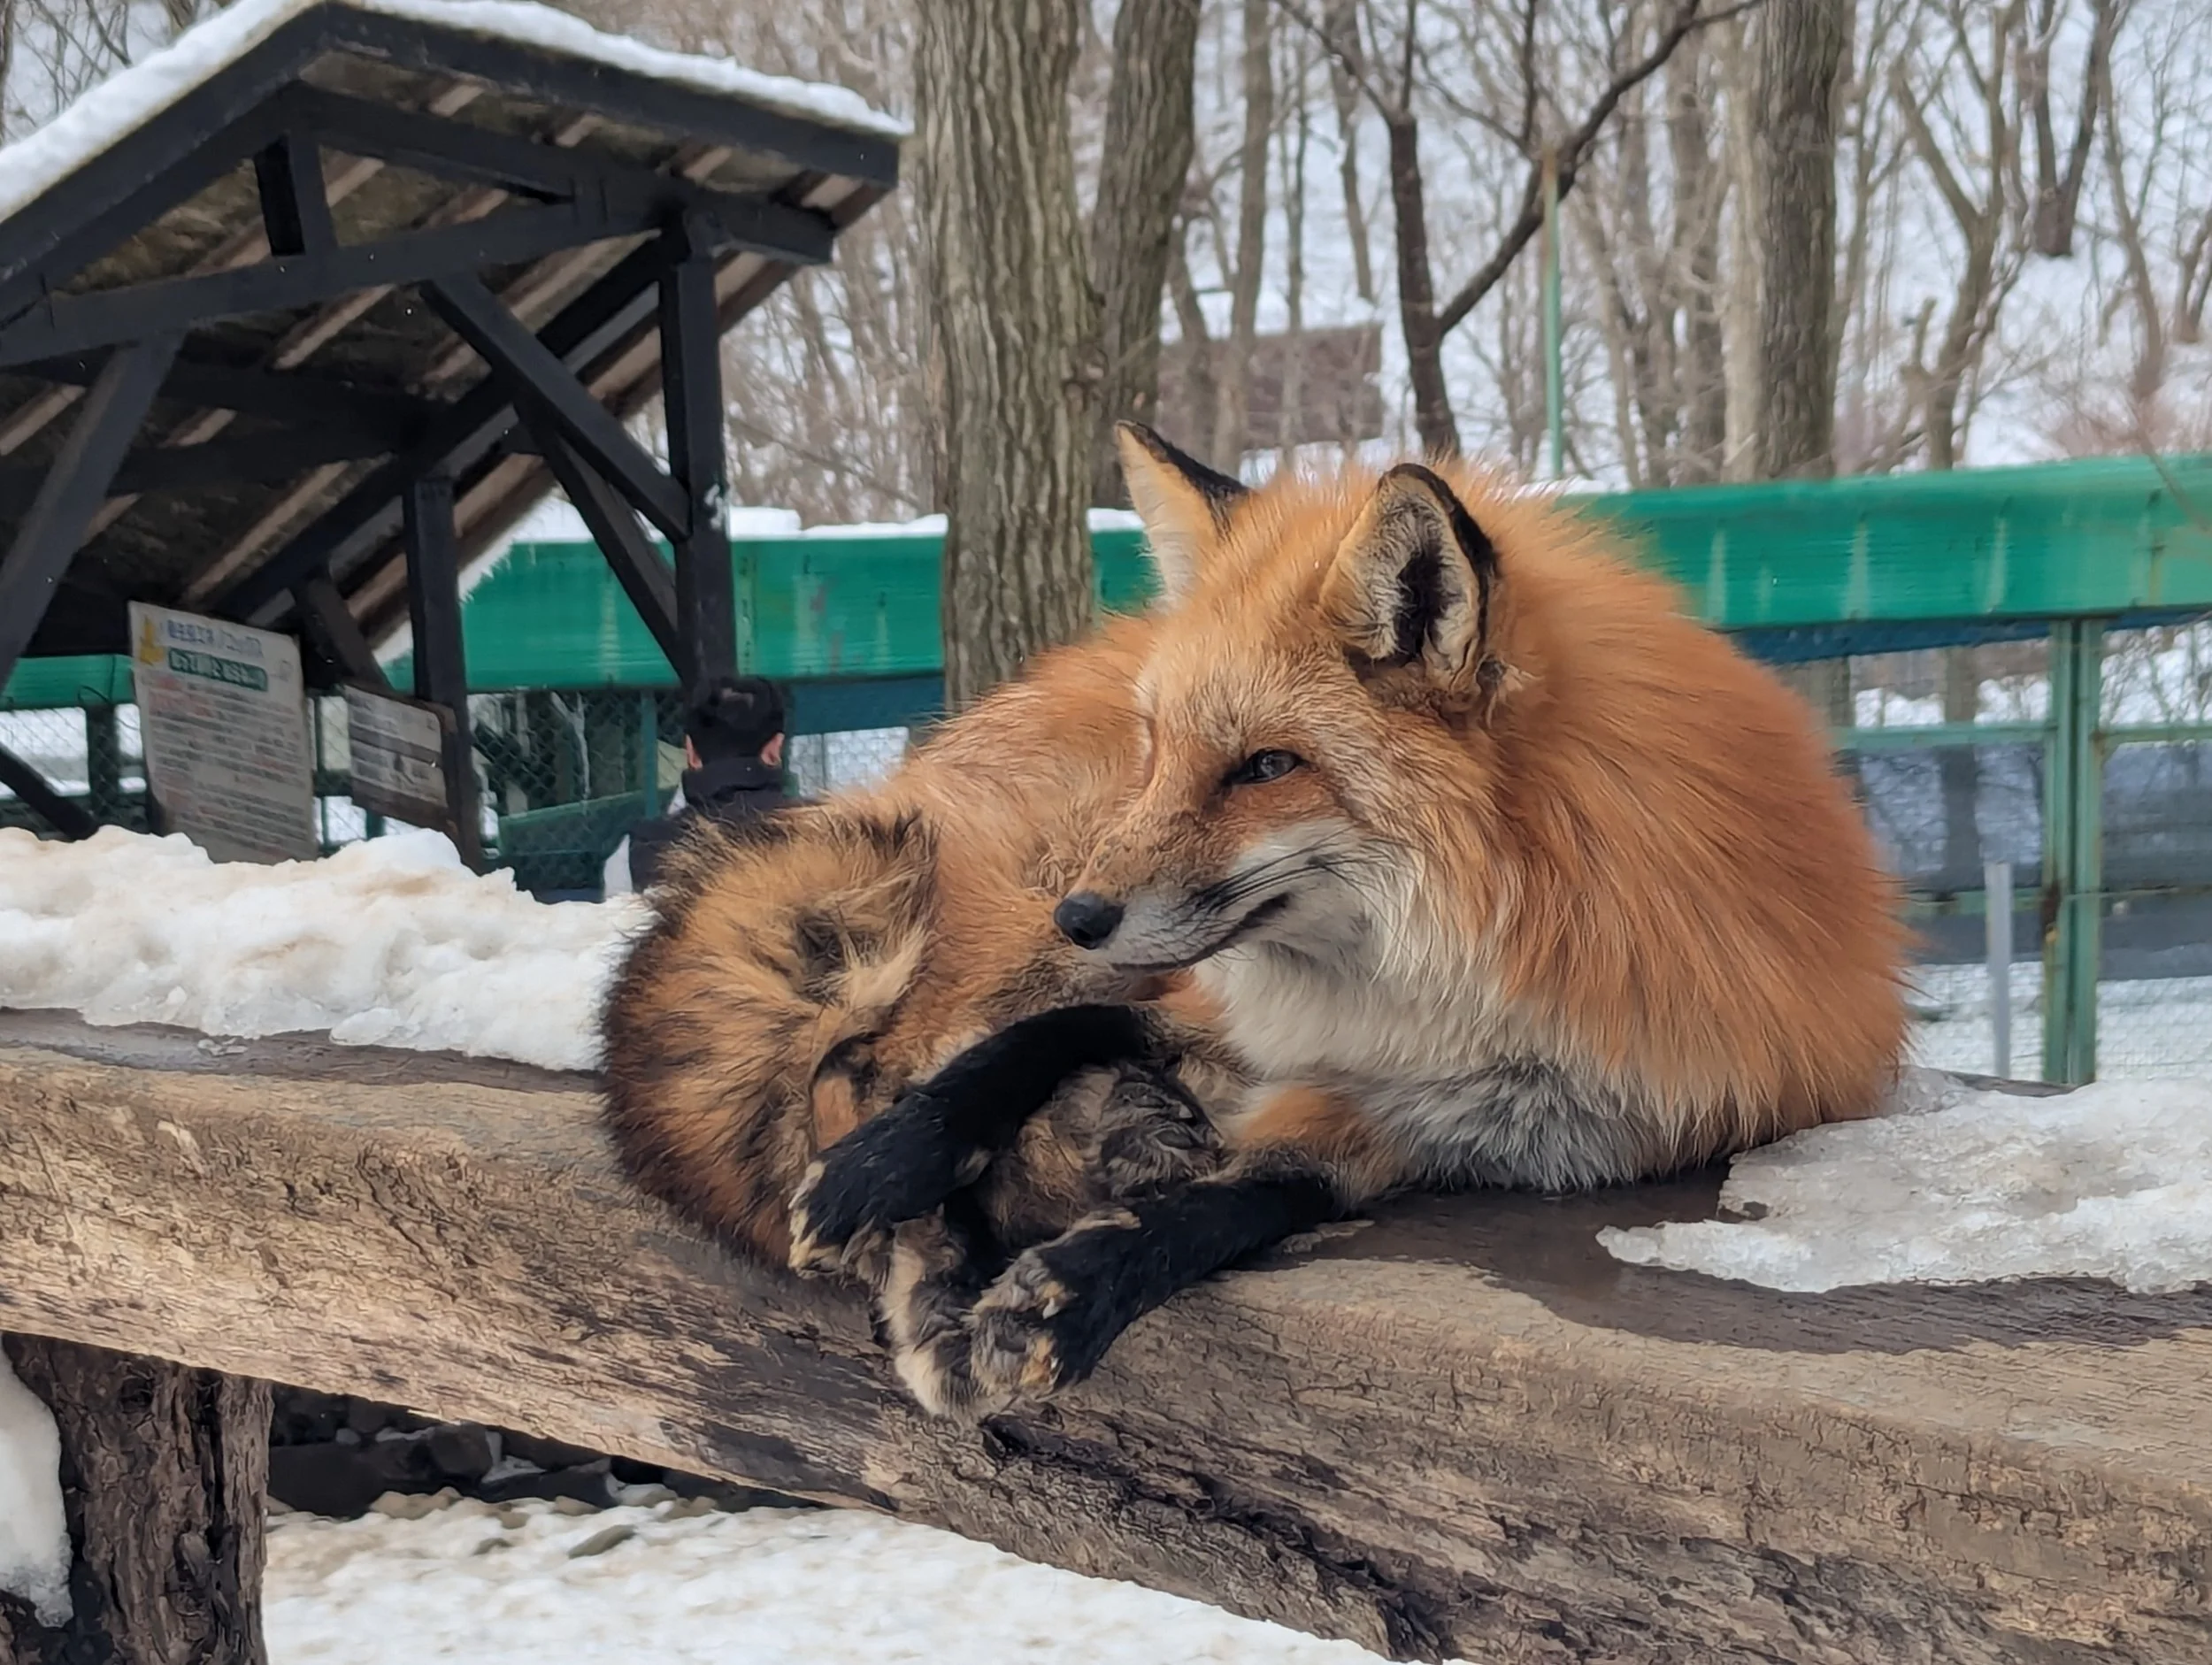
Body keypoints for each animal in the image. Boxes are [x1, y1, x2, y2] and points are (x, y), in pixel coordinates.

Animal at [783, 424, 1911, 1409]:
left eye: (1265, 767)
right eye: (1159, 748)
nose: (1081, 915)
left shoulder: (1490, 1124)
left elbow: (1254, 1194)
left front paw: (1078, 1282)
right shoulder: (1224, 1004)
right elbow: (1030, 1041)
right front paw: (885, 1164)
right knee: (852, 1054)